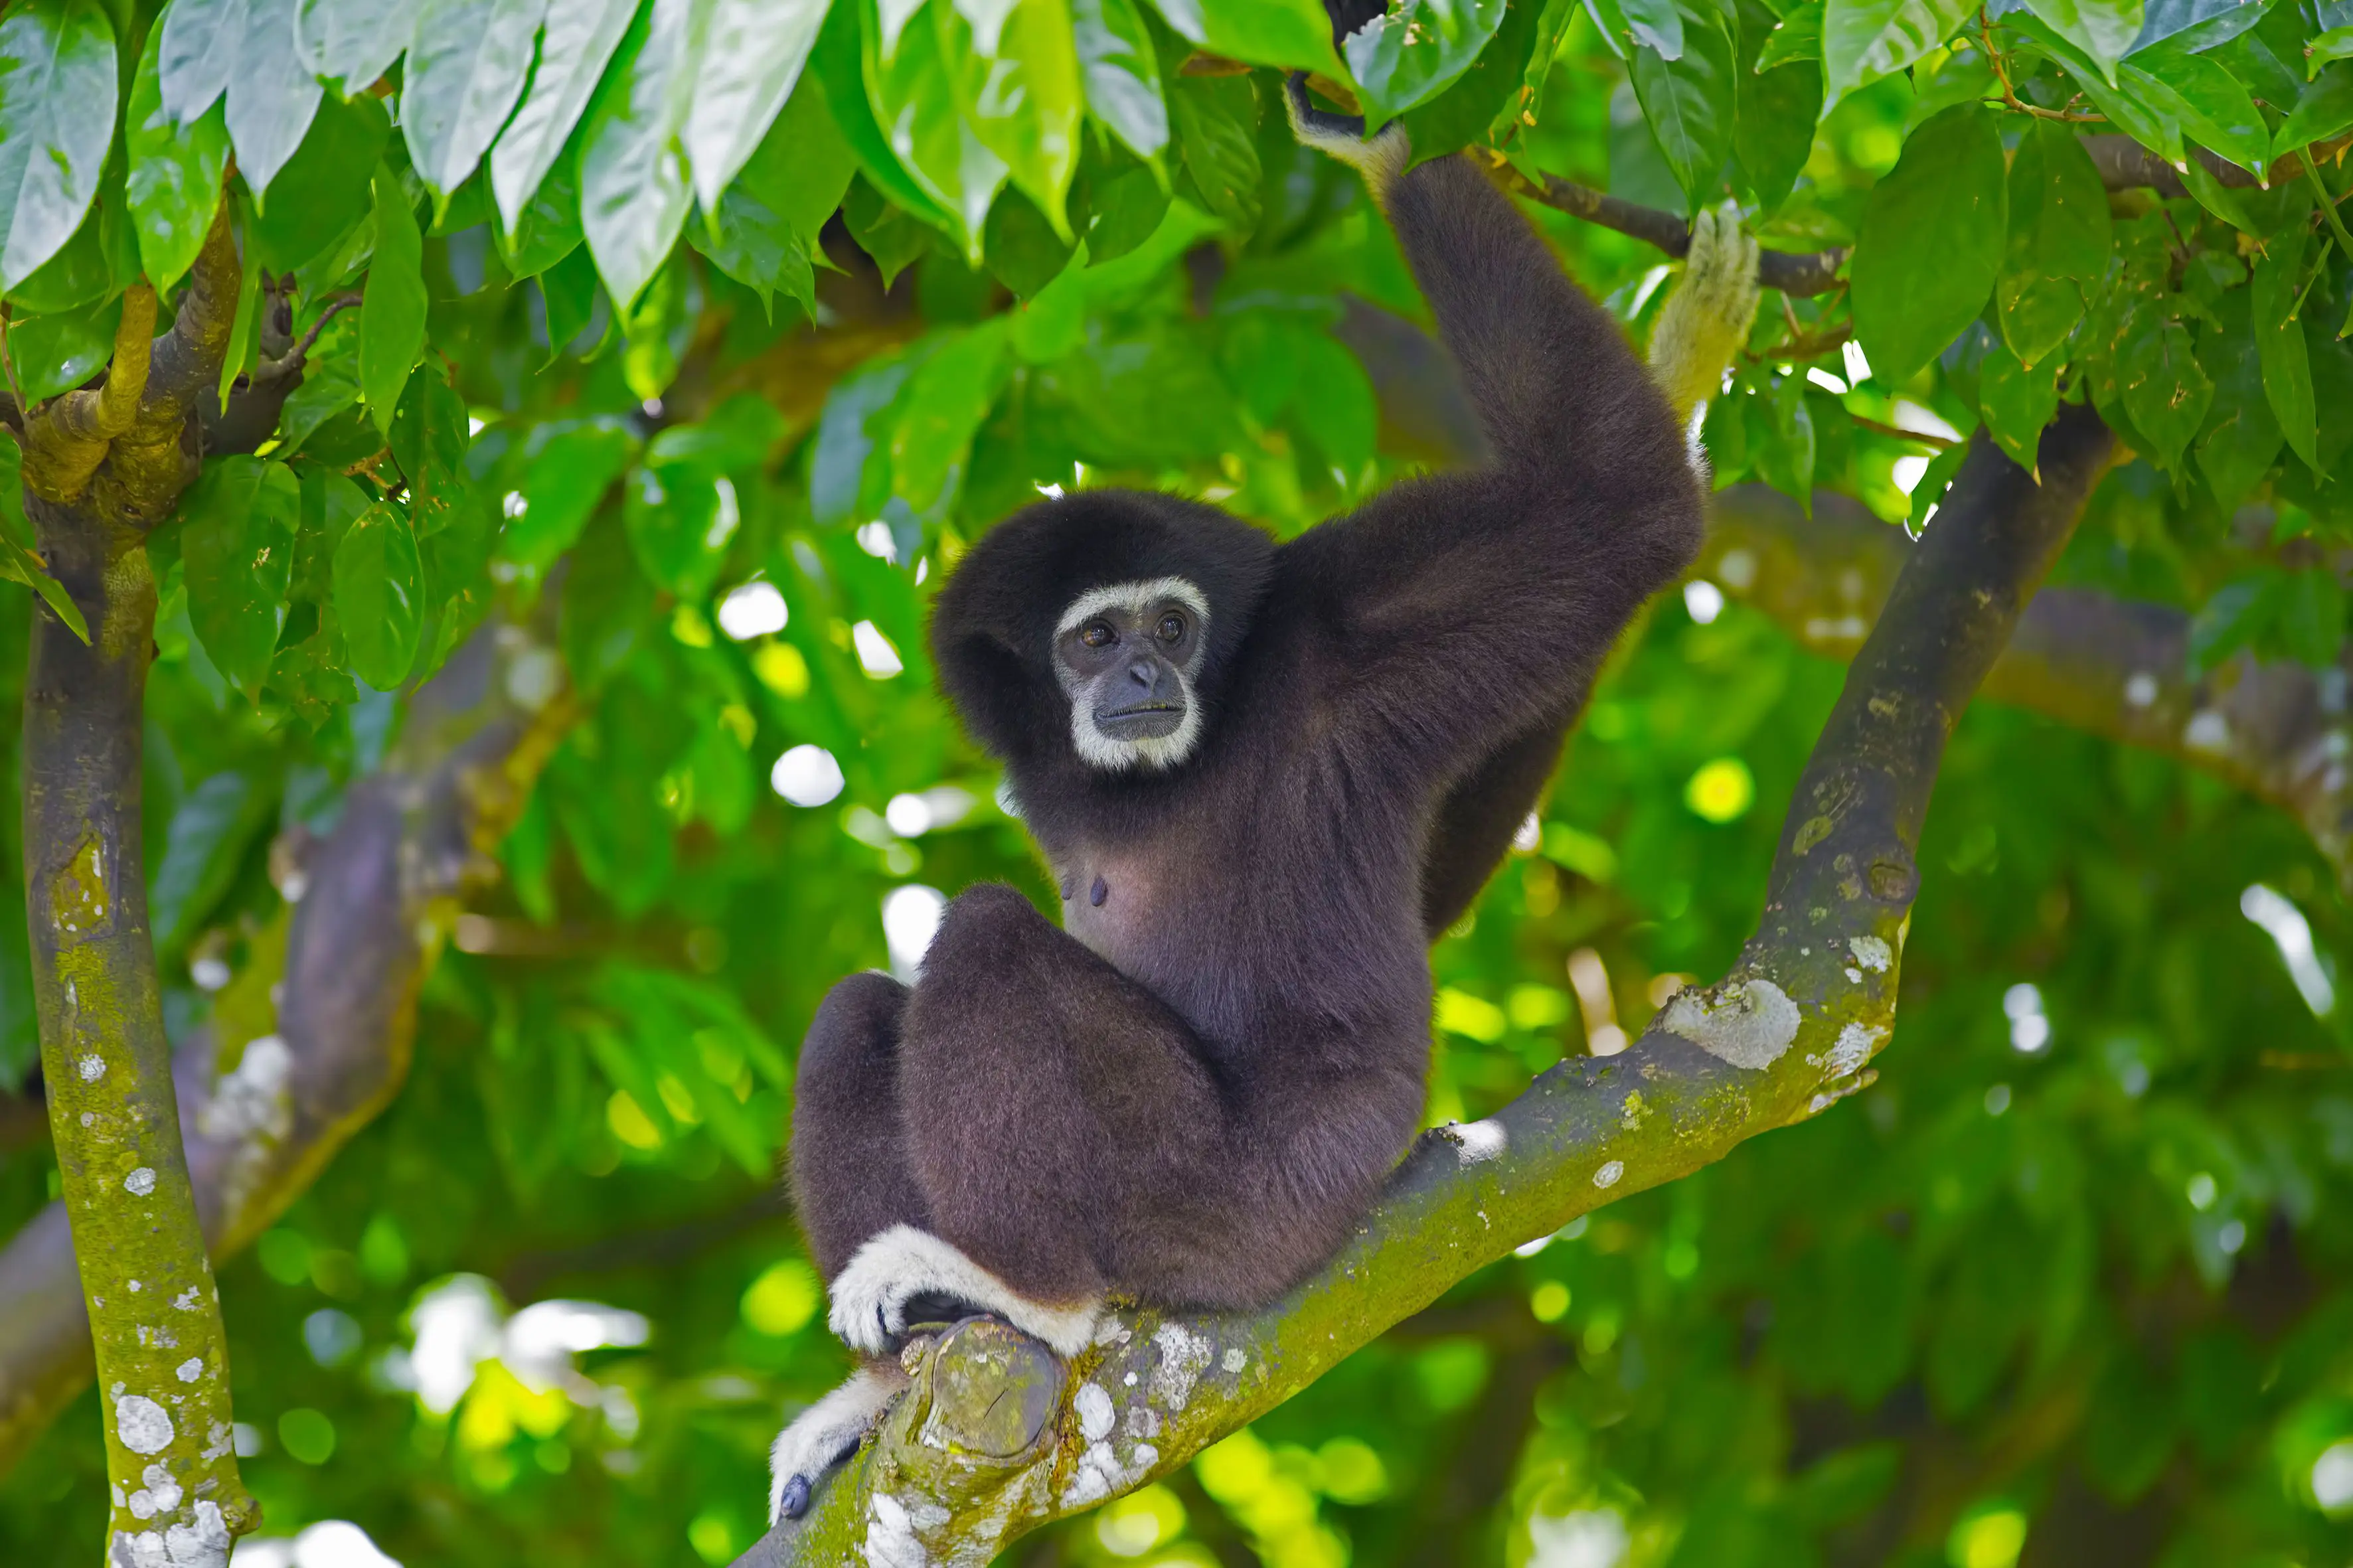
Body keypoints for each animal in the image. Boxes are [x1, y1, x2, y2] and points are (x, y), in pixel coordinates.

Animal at [765, 71, 1762, 1527]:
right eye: (1091, 640)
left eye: (1171, 627)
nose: (1138, 672)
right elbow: (1447, 872)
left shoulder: (1335, 644)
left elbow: (1615, 504)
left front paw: (1377, 127)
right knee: (858, 1003)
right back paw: (889, 1387)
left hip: (1223, 1206)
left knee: (990, 934)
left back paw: (1033, 1296)